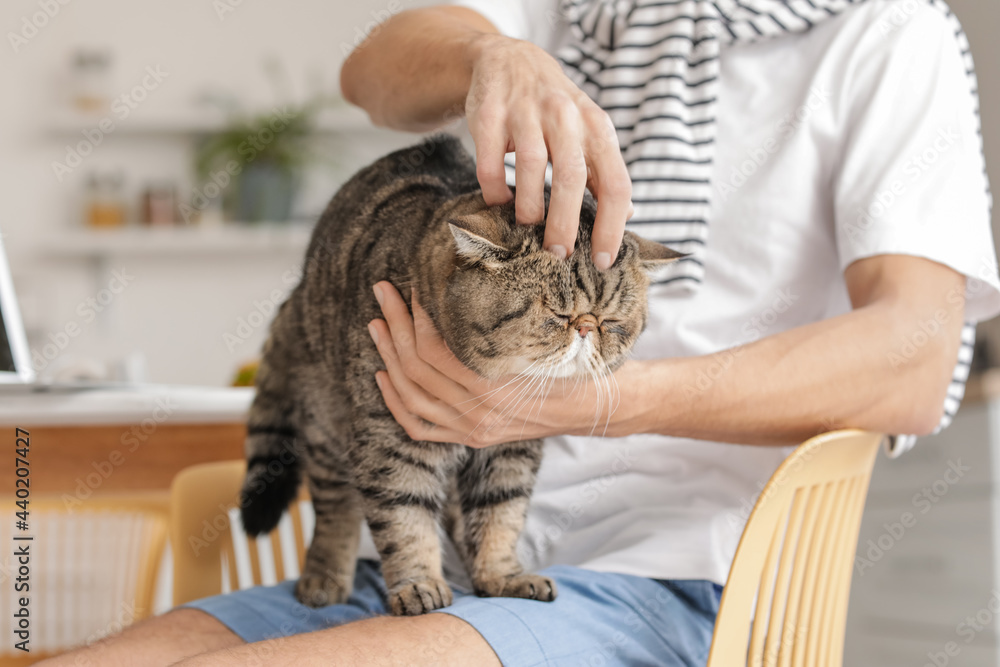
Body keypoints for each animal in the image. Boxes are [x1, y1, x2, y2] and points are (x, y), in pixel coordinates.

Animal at [238, 136, 684, 616]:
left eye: (611, 322)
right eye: (558, 314)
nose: (586, 327)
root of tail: (298, 292)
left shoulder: (512, 448)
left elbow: (500, 514)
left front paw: (502, 576)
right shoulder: (391, 438)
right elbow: (404, 516)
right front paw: (419, 584)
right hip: (325, 424)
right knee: (335, 506)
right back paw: (323, 578)